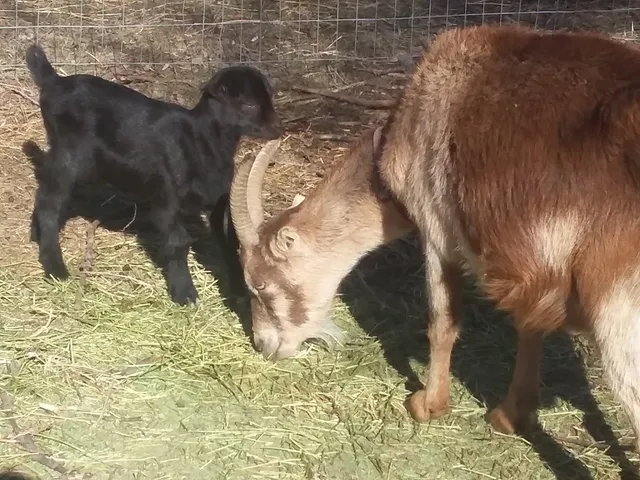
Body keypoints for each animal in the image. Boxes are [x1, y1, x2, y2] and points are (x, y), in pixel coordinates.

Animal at [24, 44, 282, 306]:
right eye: (249, 105)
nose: (278, 127)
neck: (201, 140)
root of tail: (53, 82)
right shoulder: (167, 199)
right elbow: (178, 242)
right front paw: (184, 293)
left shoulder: (218, 200)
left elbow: (229, 239)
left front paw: (240, 289)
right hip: (70, 156)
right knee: (50, 202)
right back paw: (55, 268)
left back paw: (37, 235)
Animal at [231, 24, 640, 450]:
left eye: (259, 283)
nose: (263, 344)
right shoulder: (532, 265)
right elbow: (528, 323)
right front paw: (509, 415)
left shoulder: (436, 229)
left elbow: (442, 322)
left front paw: (427, 405)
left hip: (618, 313)